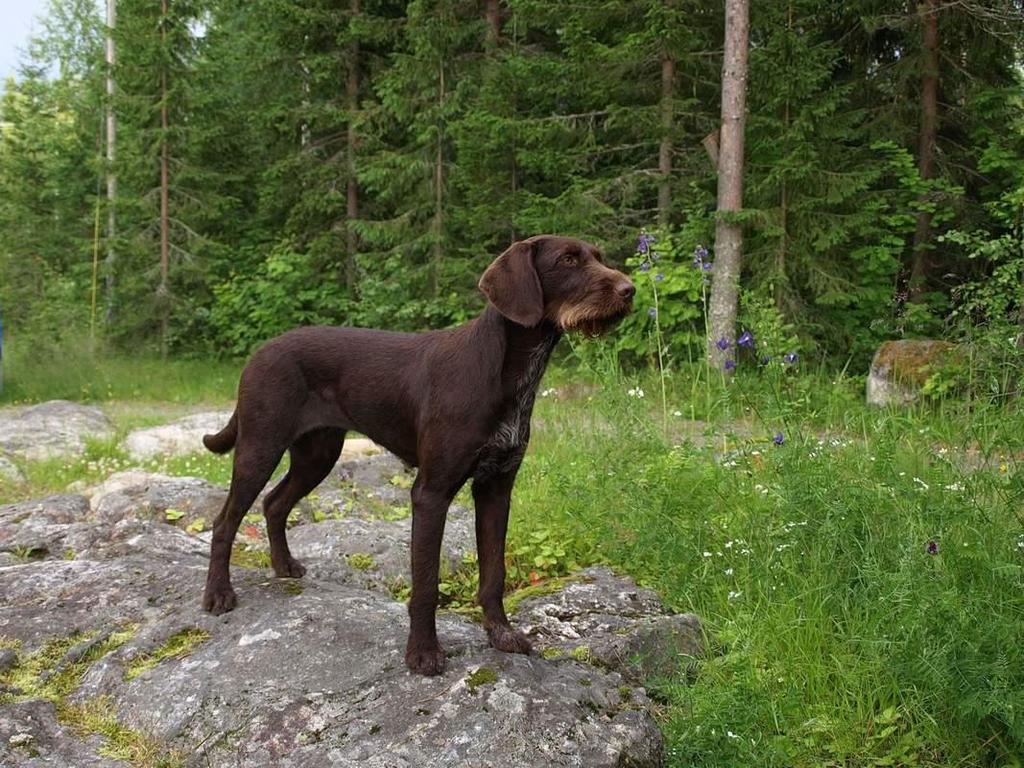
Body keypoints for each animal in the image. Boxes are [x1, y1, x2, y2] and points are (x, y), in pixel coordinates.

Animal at [199, 233, 630, 671]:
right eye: (568, 260)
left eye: (598, 257)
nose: (629, 290)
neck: (507, 372)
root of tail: (258, 353)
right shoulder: (431, 492)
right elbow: (426, 582)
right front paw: (423, 652)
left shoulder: (496, 486)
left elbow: (494, 573)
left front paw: (501, 633)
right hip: (260, 446)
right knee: (225, 521)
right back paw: (218, 594)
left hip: (318, 454)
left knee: (274, 504)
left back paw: (283, 566)